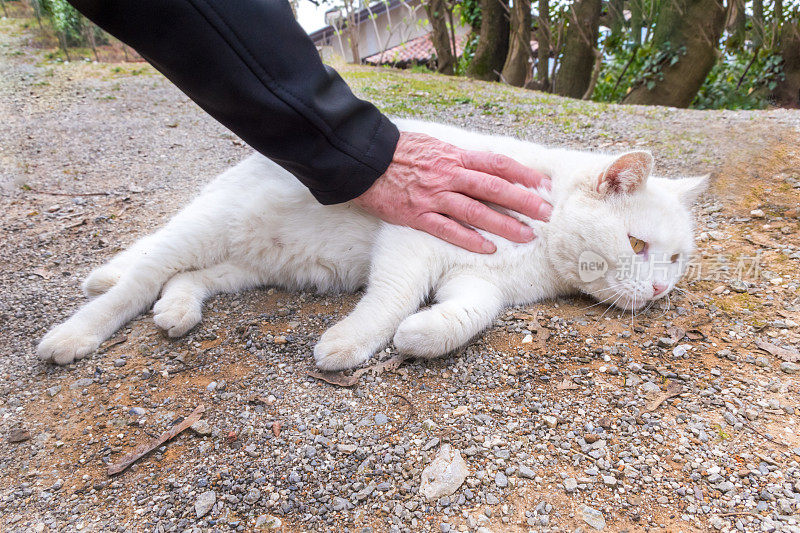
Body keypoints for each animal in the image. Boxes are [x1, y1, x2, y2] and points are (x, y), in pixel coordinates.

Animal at [39, 119, 708, 370]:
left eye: (676, 260)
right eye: (636, 243)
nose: (658, 288)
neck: (543, 247)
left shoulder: (479, 283)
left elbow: (464, 317)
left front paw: (420, 336)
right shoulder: (413, 239)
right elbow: (391, 300)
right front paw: (352, 343)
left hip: (246, 265)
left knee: (186, 279)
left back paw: (177, 311)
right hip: (205, 228)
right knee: (137, 279)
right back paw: (74, 334)